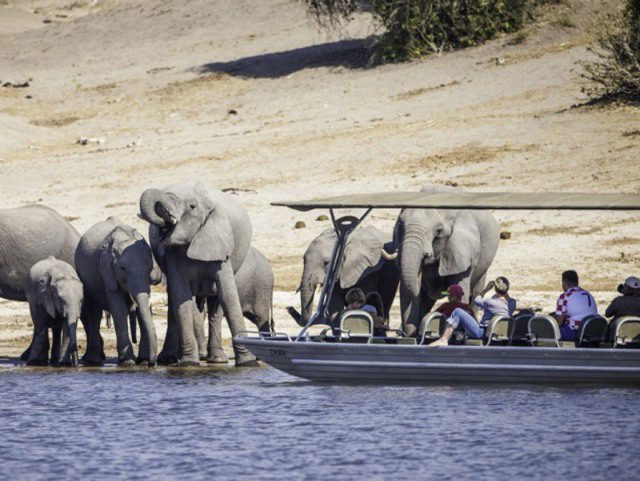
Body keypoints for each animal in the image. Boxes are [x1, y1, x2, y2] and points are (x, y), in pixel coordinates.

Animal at [75, 216, 161, 366]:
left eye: (150, 266)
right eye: (122, 268)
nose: (152, 363)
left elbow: (142, 306)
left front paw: (143, 361)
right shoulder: (107, 271)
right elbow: (118, 308)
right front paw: (128, 362)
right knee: (94, 313)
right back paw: (93, 362)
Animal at [140, 182, 258, 366]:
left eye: (192, 207)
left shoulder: (219, 241)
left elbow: (228, 295)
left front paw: (248, 363)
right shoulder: (173, 252)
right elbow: (181, 295)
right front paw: (189, 364)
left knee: (216, 302)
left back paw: (217, 359)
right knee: (174, 302)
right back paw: (169, 360)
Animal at [380, 186, 500, 336]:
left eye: (438, 232)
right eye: (400, 225)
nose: (402, 333)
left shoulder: (462, 251)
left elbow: (462, 291)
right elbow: (408, 292)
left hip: (483, 267)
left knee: (475, 294)